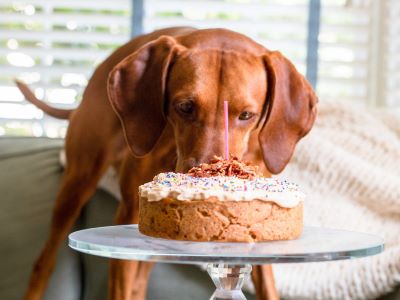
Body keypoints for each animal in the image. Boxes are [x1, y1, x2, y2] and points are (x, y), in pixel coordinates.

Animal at [14, 26, 316, 300]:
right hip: (78, 184)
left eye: (246, 115)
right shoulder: (128, 219)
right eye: (185, 107)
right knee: (45, 262)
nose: (208, 172)